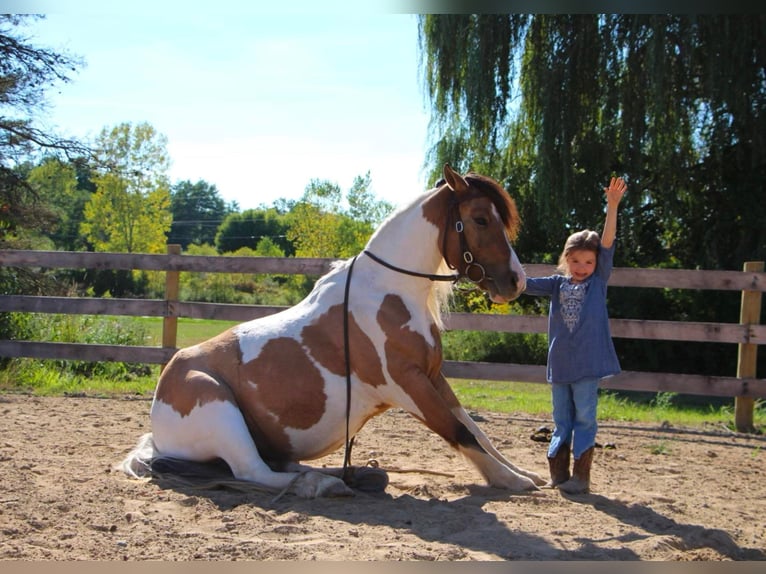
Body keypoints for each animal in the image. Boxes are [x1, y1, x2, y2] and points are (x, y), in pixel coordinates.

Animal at [118, 164, 544, 498]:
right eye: (481, 219)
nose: (516, 281)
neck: (388, 290)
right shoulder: (407, 384)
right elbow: (459, 430)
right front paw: (511, 481)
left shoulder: (434, 376)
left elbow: (476, 430)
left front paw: (522, 473)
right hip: (220, 409)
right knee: (252, 471)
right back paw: (321, 484)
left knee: (274, 466)